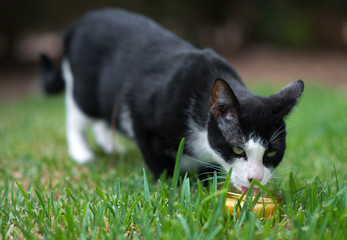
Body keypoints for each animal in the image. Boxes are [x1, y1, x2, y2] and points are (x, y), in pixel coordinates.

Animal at [40, 7, 304, 195]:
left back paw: (110, 145)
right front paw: (170, 183)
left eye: (271, 153)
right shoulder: (140, 109)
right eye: (238, 149)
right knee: (77, 115)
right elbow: (152, 153)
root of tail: (78, 23)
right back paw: (81, 152)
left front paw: (206, 180)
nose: (255, 178)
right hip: (85, 90)